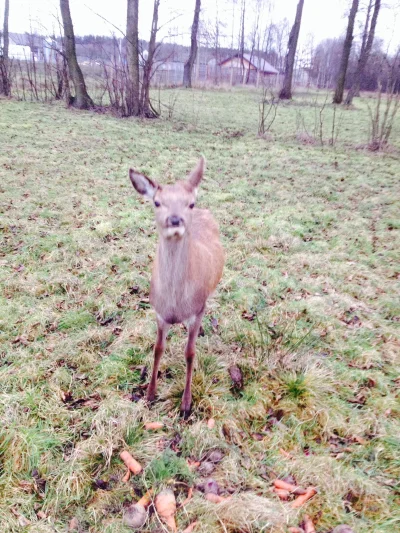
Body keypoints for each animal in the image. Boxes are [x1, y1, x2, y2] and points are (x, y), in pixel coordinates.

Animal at [130, 156, 223, 418]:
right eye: (157, 202)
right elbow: (157, 349)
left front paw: (186, 404)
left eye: (190, 203)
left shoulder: (197, 310)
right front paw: (150, 395)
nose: (175, 220)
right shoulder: (159, 312)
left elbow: (190, 353)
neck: (176, 304)